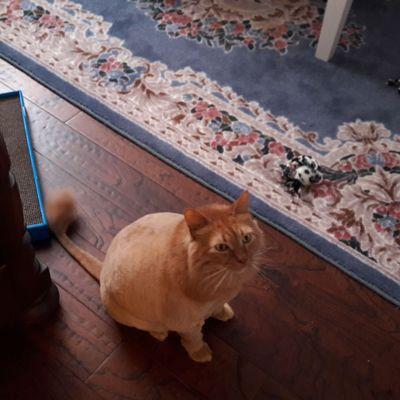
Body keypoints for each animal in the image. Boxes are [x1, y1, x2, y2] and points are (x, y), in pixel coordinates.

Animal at [47, 191, 264, 362]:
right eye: (221, 247)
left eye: (246, 238)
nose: (244, 259)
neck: (222, 282)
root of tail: (104, 266)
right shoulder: (187, 324)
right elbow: (194, 340)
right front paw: (201, 354)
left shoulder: (219, 299)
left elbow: (218, 308)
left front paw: (223, 312)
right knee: (151, 328)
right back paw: (159, 332)